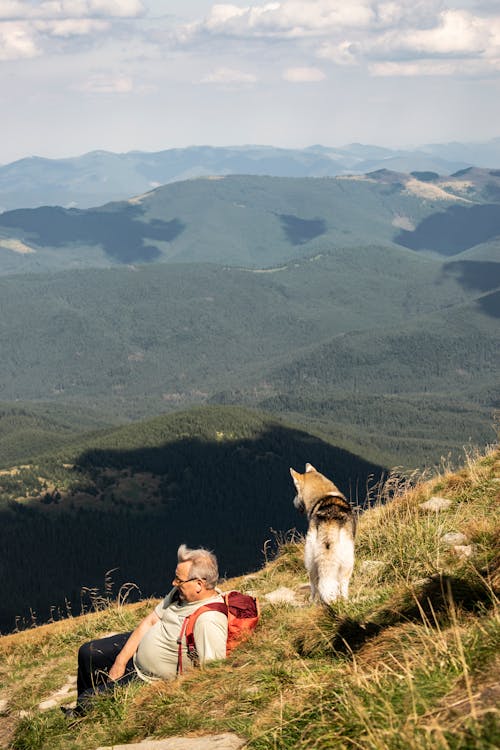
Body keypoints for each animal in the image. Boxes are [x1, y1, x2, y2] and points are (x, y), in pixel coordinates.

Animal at [290, 464, 356, 604]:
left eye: (296, 491)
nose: (293, 502)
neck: (324, 494)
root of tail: (329, 520)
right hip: (348, 561)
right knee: (340, 584)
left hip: (311, 558)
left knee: (316, 584)